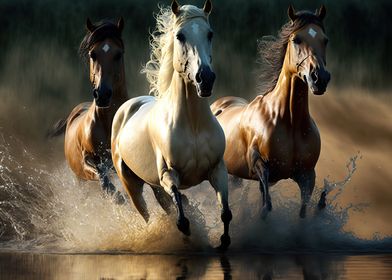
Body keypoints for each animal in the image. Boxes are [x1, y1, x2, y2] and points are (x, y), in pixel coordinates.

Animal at [47, 18, 127, 201]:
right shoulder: (87, 161)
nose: (102, 94)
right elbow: (102, 176)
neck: (109, 124)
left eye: (118, 54)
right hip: (79, 179)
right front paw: (118, 197)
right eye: (93, 54)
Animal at [111, 0, 233, 249]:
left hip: (153, 184)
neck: (193, 124)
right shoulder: (169, 174)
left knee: (163, 202)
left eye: (210, 33)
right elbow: (181, 216)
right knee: (147, 214)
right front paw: (188, 234)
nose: (205, 78)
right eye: (180, 36)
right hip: (131, 184)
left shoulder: (218, 170)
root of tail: (127, 107)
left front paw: (223, 241)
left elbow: (225, 212)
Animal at [211, 4, 330, 219]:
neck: (289, 121)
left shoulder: (307, 174)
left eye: (325, 40)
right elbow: (267, 206)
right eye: (296, 39)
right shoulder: (260, 165)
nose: (319, 78)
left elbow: (302, 212)